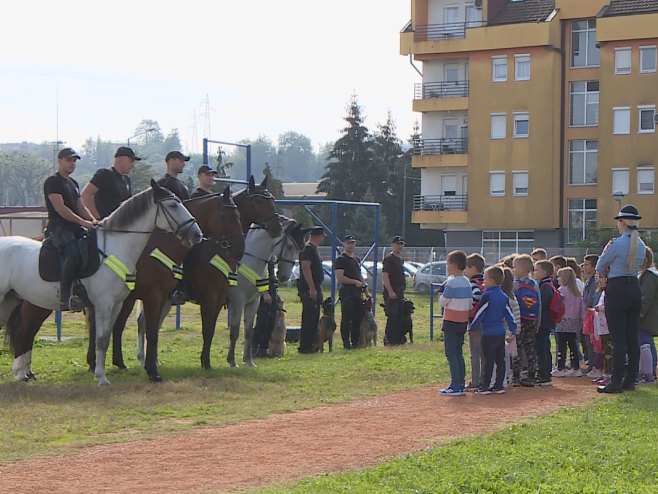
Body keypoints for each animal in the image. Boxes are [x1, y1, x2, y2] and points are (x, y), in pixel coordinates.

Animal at [1, 179, 201, 384]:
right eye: (173, 205)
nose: (197, 234)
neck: (116, 248)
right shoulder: (111, 302)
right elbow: (104, 337)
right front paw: (104, 378)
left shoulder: (118, 303)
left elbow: (107, 336)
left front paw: (101, 372)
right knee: (25, 332)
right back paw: (22, 373)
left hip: (14, 301)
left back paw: (23, 373)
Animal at [88, 176, 280, 380]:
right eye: (258, 201)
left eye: (272, 200)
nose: (276, 228)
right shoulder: (212, 297)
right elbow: (207, 330)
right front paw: (207, 363)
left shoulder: (221, 298)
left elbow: (216, 329)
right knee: (109, 326)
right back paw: (101, 364)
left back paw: (123, 362)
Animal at [227, 216, 304, 366]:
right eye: (290, 246)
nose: (284, 276)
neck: (248, 261)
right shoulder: (237, 302)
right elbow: (234, 330)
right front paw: (232, 361)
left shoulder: (253, 302)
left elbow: (248, 331)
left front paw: (249, 361)